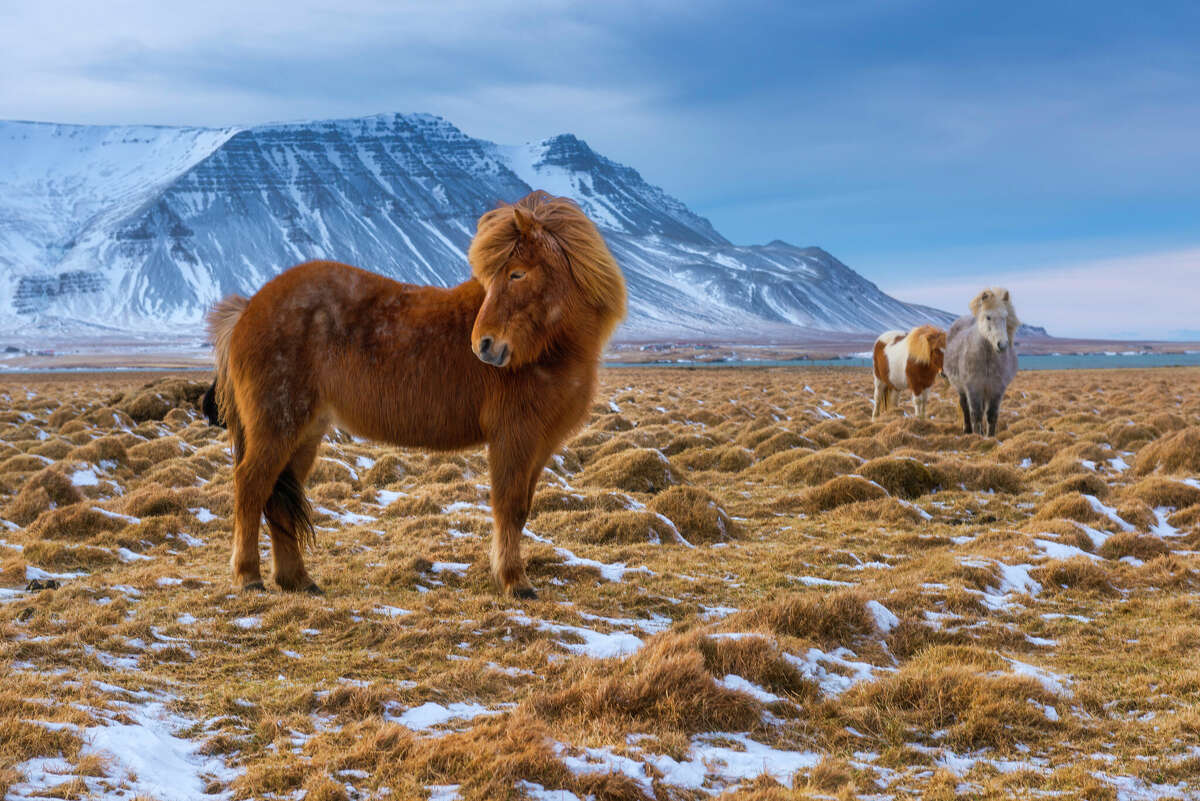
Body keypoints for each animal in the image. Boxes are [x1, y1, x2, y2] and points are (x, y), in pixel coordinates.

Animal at [208, 190, 628, 597]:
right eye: (495, 277)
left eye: (517, 273)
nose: (484, 345)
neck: (549, 349)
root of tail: (248, 307)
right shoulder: (514, 437)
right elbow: (508, 507)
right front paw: (515, 582)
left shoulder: (541, 445)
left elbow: (522, 509)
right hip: (276, 426)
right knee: (251, 486)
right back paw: (249, 577)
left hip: (306, 432)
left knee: (280, 497)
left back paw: (298, 580)